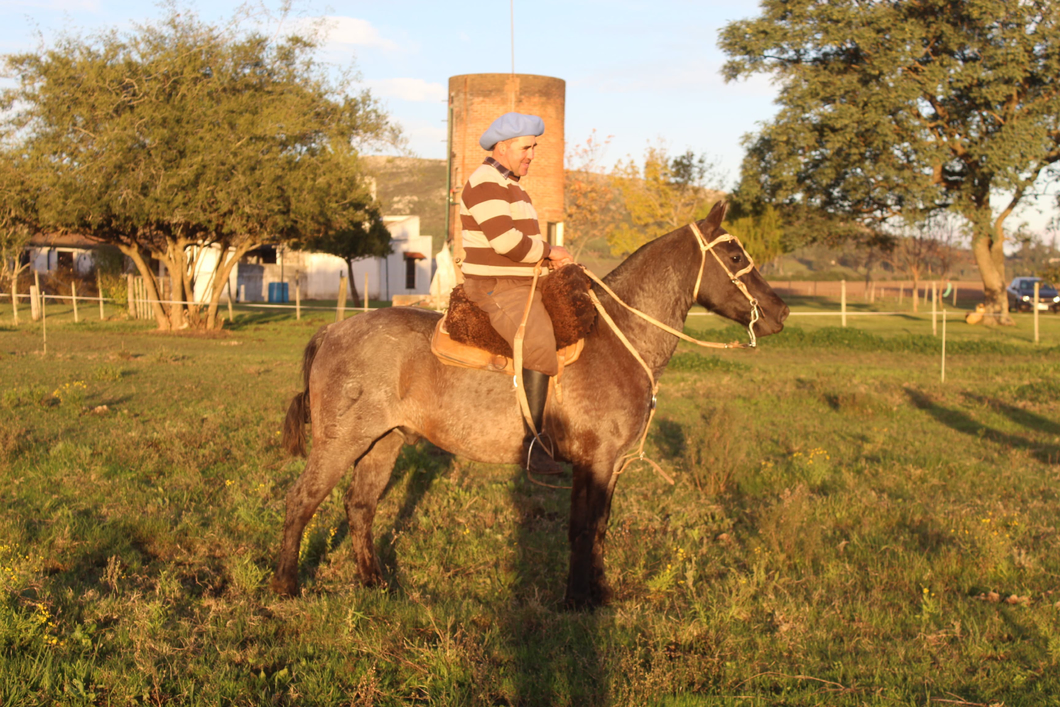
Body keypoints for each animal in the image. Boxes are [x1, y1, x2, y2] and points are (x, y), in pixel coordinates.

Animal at [273, 201, 788, 610]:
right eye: (736, 255)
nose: (780, 312)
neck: (619, 339)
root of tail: (332, 331)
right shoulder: (596, 461)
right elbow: (583, 528)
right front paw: (577, 601)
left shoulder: (609, 466)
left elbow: (597, 528)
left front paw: (598, 593)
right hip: (340, 444)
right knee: (301, 501)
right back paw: (285, 586)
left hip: (383, 443)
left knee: (359, 507)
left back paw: (376, 583)